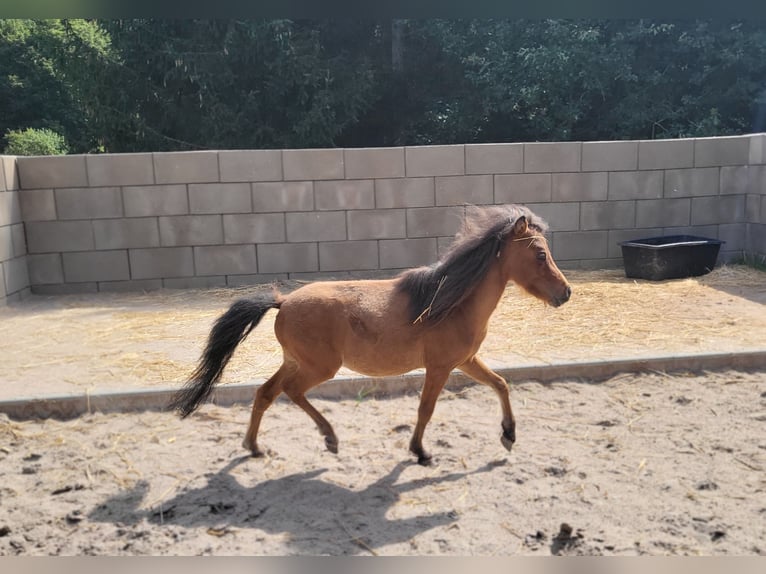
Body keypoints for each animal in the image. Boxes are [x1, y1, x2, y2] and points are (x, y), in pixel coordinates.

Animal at [171, 205, 572, 466]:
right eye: (540, 254)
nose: (565, 292)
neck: (450, 303)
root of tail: (282, 302)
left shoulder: (466, 361)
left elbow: (501, 384)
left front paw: (508, 435)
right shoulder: (440, 367)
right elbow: (426, 409)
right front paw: (420, 452)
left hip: (295, 362)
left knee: (266, 393)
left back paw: (255, 447)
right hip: (319, 368)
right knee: (291, 392)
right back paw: (329, 438)